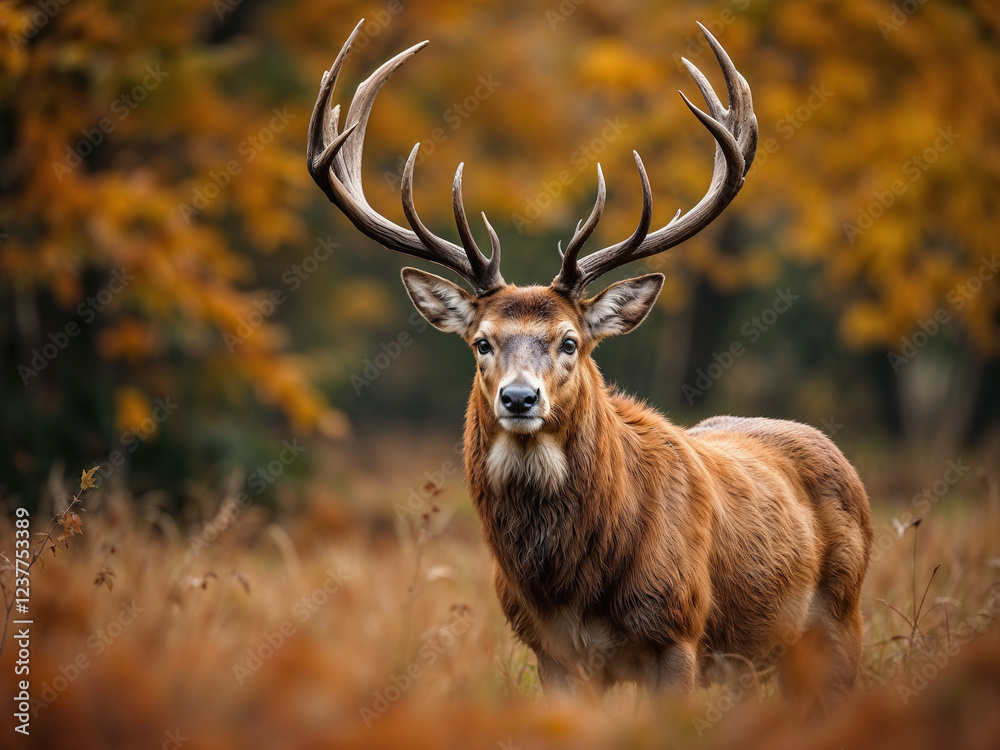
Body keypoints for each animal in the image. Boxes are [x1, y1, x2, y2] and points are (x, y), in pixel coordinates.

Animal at [306, 19, 873, 700]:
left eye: (570, 341)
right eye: (482, 342)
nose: (520, 397)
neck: (572, 584)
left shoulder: (678, 630)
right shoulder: (549, 652)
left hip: (840, 617)